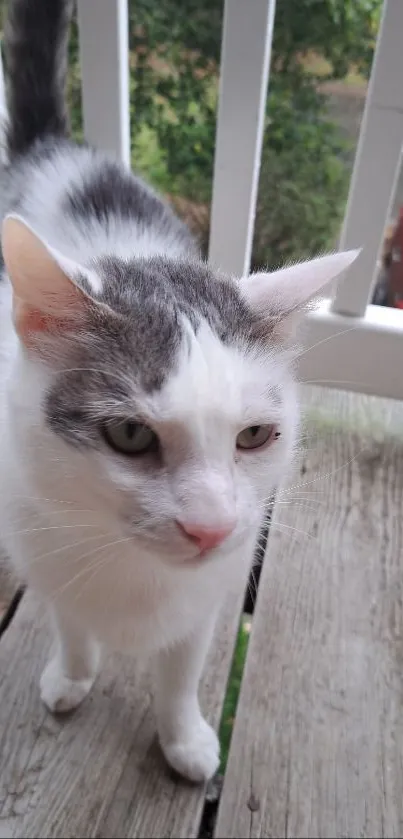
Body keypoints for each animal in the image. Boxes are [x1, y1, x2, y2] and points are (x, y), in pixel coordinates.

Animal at [0, 0, 360, 784]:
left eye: (255, 435)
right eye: (130, 435)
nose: (213, 528)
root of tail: (56, 150)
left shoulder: (204, 603)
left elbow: (179, 673)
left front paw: (185, 738)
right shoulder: (45, 551)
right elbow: (71, 622)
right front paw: (72, 674)